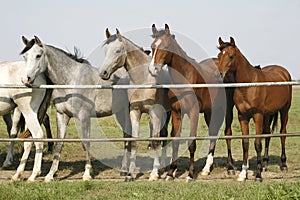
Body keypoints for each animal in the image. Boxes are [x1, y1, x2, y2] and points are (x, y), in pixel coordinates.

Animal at [19, 35, 130, 181]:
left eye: (38, 55)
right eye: (25, 56)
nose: (26, 79)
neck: (71, 80)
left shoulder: (84, 116)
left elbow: (86, 143)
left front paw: (87, 174)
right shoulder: (62, 115)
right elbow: (59, 144)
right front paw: (50, 175)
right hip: (120, 112)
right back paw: (123, 169)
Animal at [99, 28, 171, 181]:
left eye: (118, 50)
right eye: (105, 50)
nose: (103, 73)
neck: (143, 78)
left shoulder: (154, 112)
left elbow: (155, 141)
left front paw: (155, 173)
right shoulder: (134, 111)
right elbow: (133, 141)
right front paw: (130, 174)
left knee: (164, 137)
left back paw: (163, 166)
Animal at [149, 23, 226, 181]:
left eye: (166, 47)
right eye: (152, 46)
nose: (153, 69)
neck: (184, 78)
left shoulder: (193, 112)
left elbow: (191, 142)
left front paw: (190, 175)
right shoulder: (176, 112)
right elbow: (175, 141)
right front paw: (170, 173)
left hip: (218, 111)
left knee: (213, 136)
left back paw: (207, 168)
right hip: (209, 112)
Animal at [217, 37, 292, 181]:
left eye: (231, 56)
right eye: (219, 56)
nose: (220, 75)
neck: (249, 85)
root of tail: (283, 71)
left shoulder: (257, 115)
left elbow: (257, 143)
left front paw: (257, 175)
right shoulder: (243, 117)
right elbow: (245, 143)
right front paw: (243, 173)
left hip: (284, 110)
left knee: (283, 134)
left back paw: (283, 165)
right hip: (268, 114)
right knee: (267, 133)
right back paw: (265, 164)